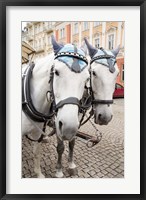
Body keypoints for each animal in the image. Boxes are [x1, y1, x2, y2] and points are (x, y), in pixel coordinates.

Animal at [21, 36, 90, 178]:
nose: (69, 128)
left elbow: (37, 152)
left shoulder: (37, 132)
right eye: (56, 72)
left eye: (87, 78)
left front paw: (38, 174)